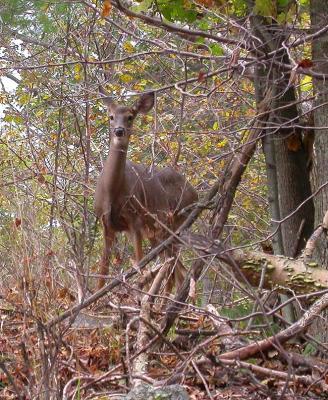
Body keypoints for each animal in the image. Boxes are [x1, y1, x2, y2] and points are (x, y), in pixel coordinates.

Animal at [95, 90, 197, 290]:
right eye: (111, 116)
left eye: (130, 116)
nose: (119, 131)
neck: (112, 191)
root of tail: (195, 193)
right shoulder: (106, 224)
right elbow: (102, 276)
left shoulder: (134, 219)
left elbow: (140, 267)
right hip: (158, 232)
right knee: (177, 272)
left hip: (173, 225)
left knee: (174, 273)